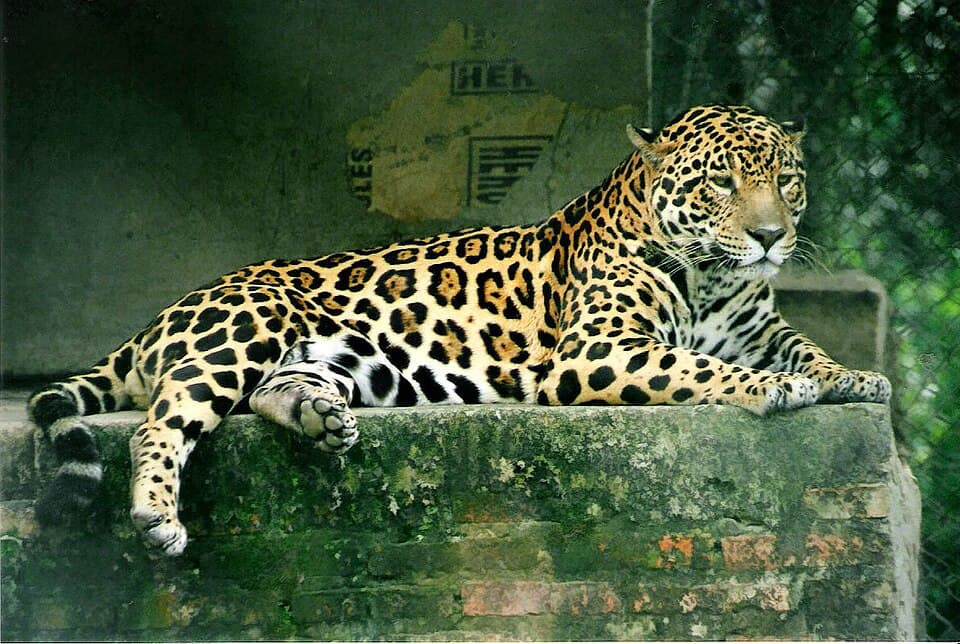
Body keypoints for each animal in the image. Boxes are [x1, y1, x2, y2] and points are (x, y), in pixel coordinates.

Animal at [28, 104, 891, 556]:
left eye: (785, 179)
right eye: (720, 183)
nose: (772, 237)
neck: (713, 277)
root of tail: (162, 316)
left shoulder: (756, 323)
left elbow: (805, 344)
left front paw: (854, 376)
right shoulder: (597, 351)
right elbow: (699, 369)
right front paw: (778, 387)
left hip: (336, 358)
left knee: (272, 392)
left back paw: (320, 418)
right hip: (247, 326)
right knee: (160, 422)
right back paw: (156, 515)